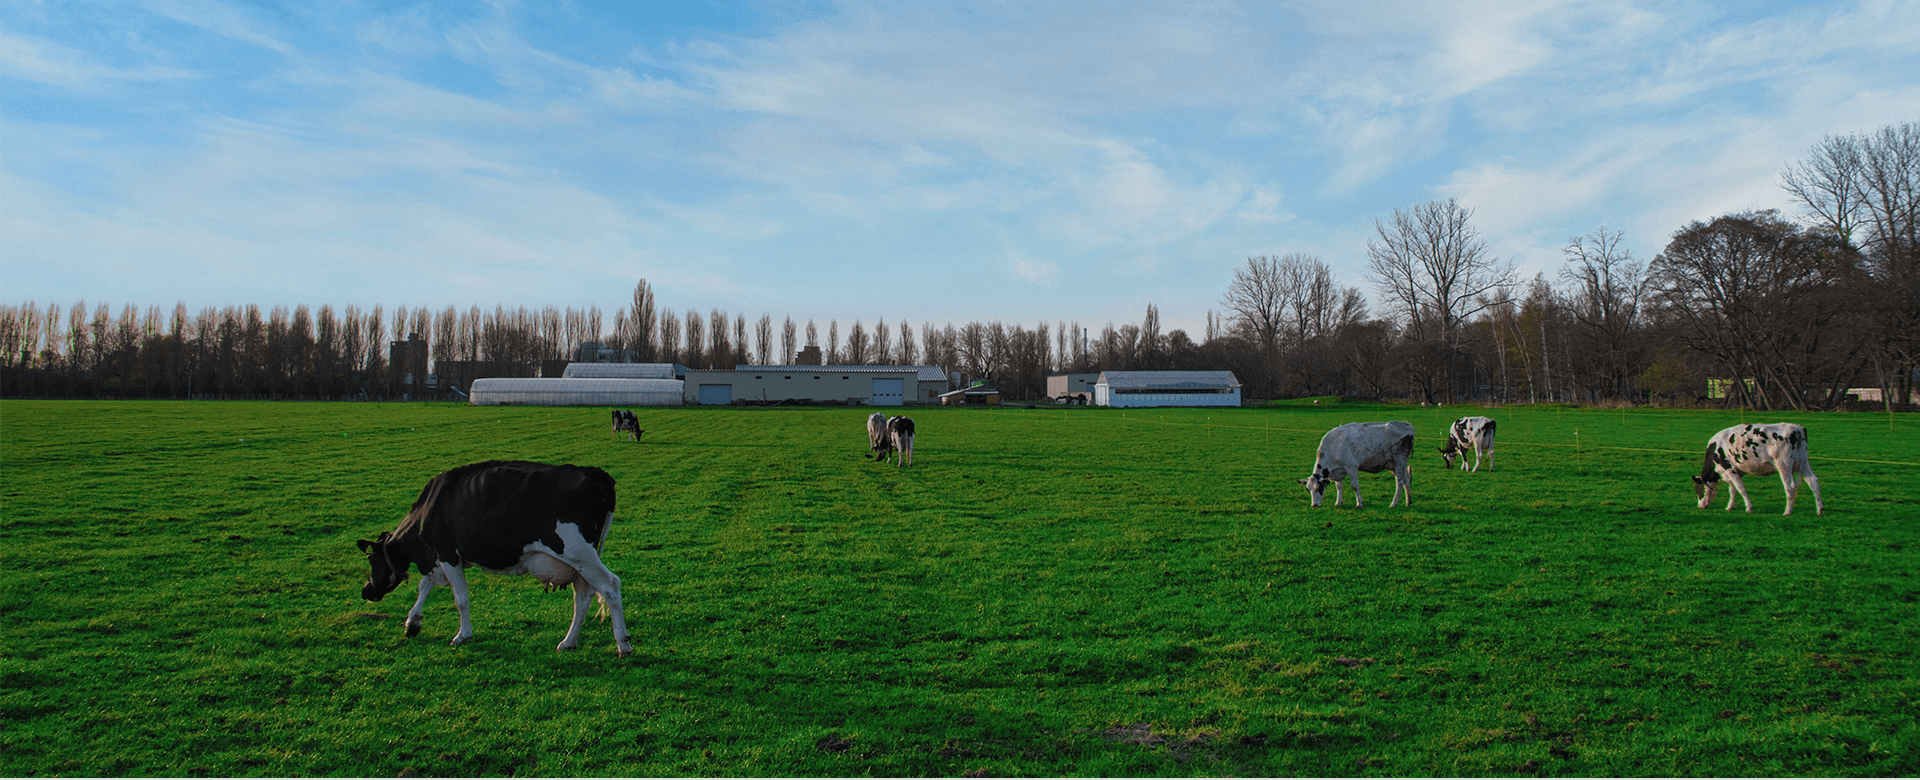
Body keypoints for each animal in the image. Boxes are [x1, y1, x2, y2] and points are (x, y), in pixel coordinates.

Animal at [353, 459, 637, 653]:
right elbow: (425, 585)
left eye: (371, 560)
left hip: (578, 551)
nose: (366, 590)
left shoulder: (446, 553)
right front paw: (412, 623)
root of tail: (595, 472)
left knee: (610, 586)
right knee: (583, 597)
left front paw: (462, 635)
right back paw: (568, 641)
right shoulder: (439, 558)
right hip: (580, 559)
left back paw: (622, 644)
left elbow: (460, 598)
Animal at [1697, 422, 1827, 514]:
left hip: (1783, 465)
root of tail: (1796, 428)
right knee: (1813, 481)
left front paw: (1749, 508)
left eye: (1697, 490)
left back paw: (1787, 511)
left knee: (1789, 487)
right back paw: (1820, 510)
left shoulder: (1729, 468)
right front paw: (1730, 506)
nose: (1699, 506)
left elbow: (1740, 488)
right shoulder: (1735, 471)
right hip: (1804, 463)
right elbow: (1733, 489)